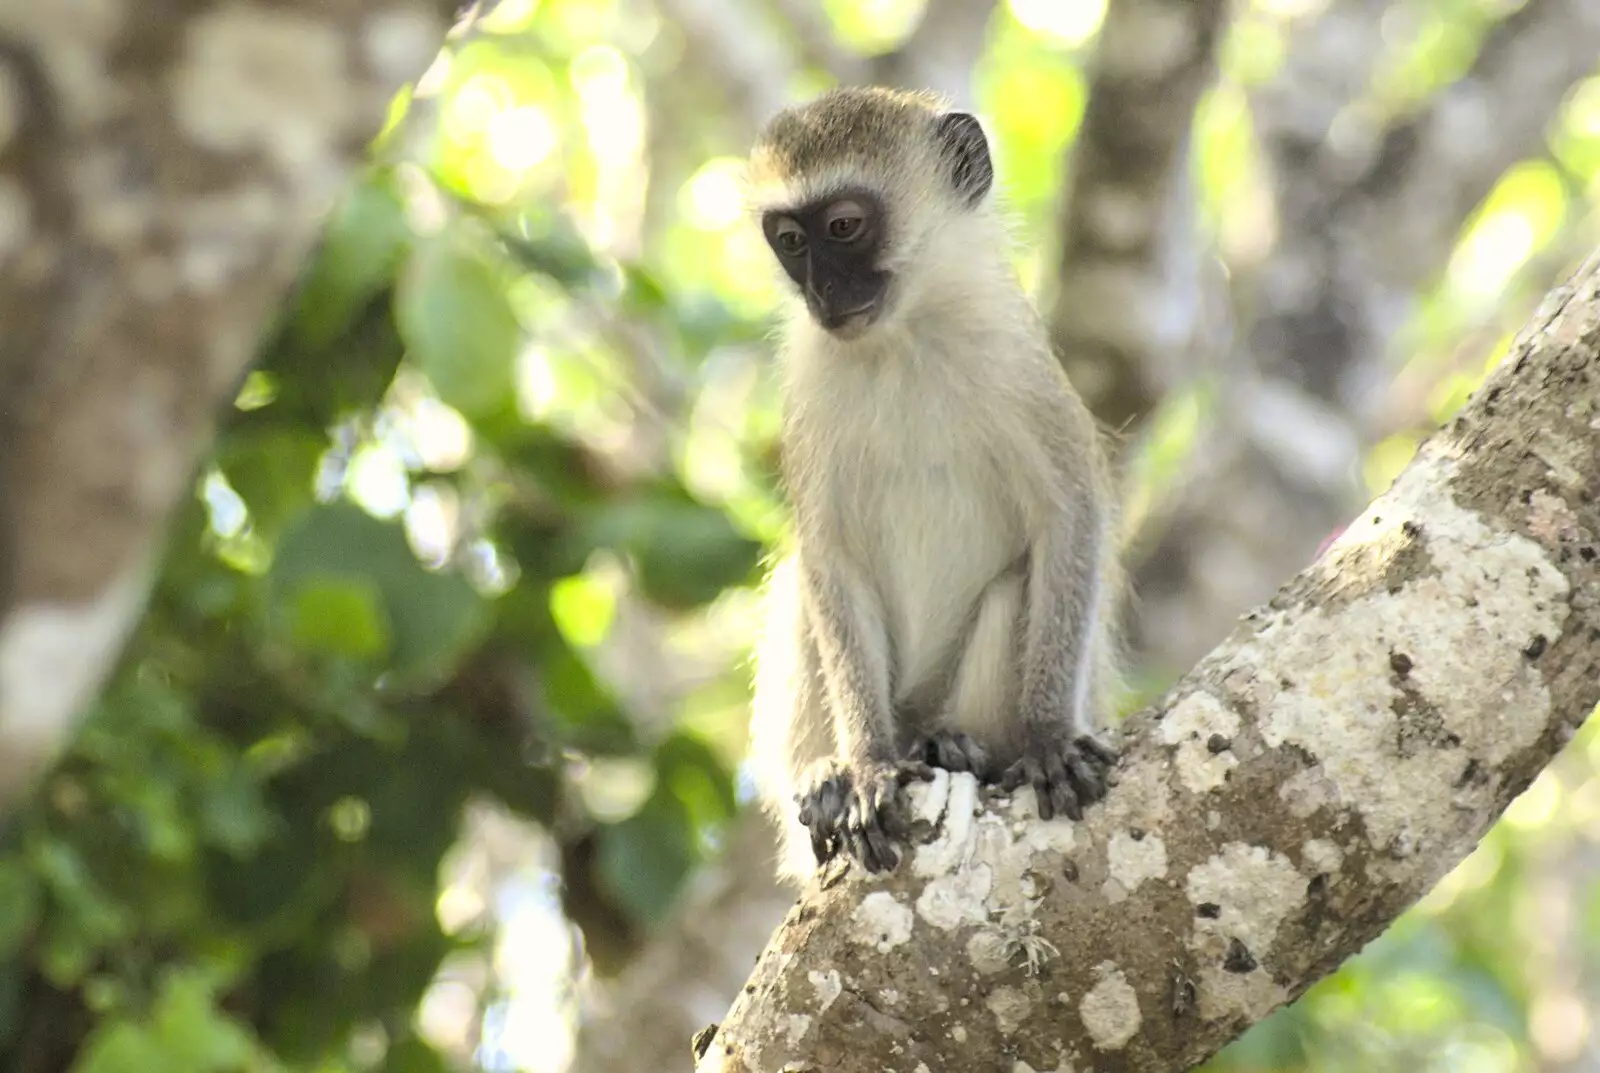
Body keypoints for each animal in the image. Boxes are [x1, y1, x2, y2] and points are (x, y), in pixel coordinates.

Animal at [742, 87, 1120, 882]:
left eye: (844, 227)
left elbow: (1070, 515)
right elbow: (829, 560)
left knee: (1017, 584)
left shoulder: (1016, 361)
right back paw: (831, 783)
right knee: (798, 585)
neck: (903, 338)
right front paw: (864, 766)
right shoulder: (812, 383)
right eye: (790, 240)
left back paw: (963, 746)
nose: (823, 292)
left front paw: (1047, 733)